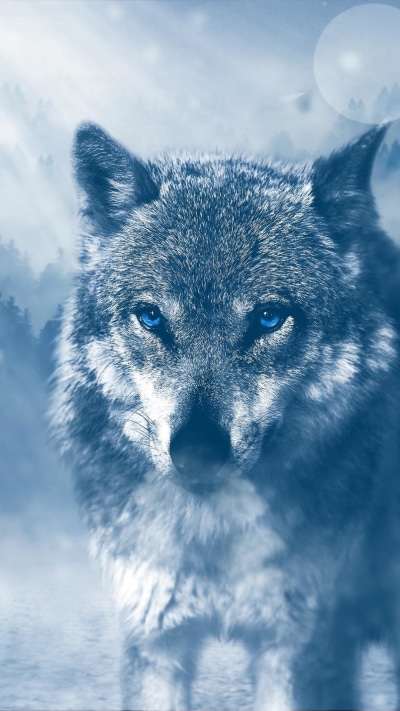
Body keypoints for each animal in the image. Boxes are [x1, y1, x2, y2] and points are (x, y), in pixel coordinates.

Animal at [52, 120, 400, 710]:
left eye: (269, 317)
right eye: (151, 316)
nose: (198, 452)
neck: (212, 539)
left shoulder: (301, 647)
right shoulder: (156, 639)